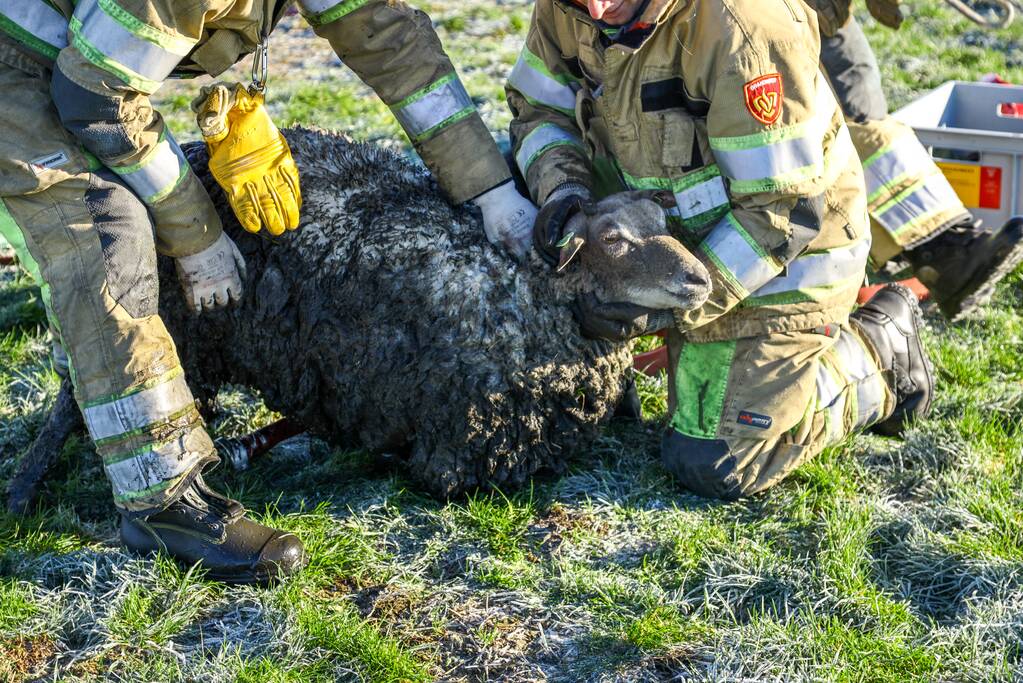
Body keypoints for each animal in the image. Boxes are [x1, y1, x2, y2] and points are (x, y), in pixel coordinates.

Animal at [7, 127, 712, 501]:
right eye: (612, 238)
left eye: (662, 222)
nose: (699, 278)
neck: (528, 293)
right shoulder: (460, 453)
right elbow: (433, 471)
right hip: (169, 321)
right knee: (87, 388)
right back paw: (29, 483)